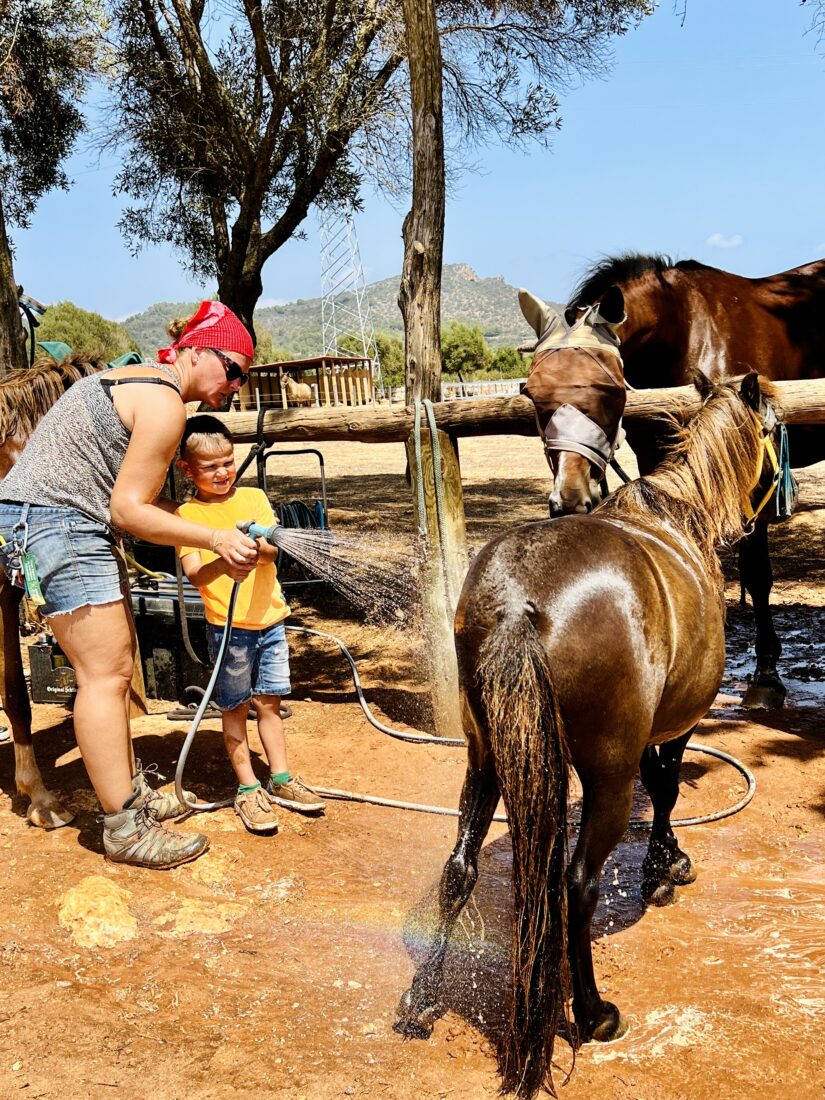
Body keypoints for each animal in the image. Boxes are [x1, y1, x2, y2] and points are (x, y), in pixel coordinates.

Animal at [398, 376, 783, 1100]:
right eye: (777, 427)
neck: (676, 515)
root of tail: (518, 600)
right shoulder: (677, 724)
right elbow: (664, 787)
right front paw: (664, 868)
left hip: (485, 759)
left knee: (459, 870)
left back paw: (420, 999)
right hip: (605, 776)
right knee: (577, 883)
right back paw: (594, 1011)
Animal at [567, 254, 825, 708]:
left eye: (600, 386)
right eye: (533, 388)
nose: (570, 495)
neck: (682, 329)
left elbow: (757, 575)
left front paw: (765, 676)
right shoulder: (661, 460)